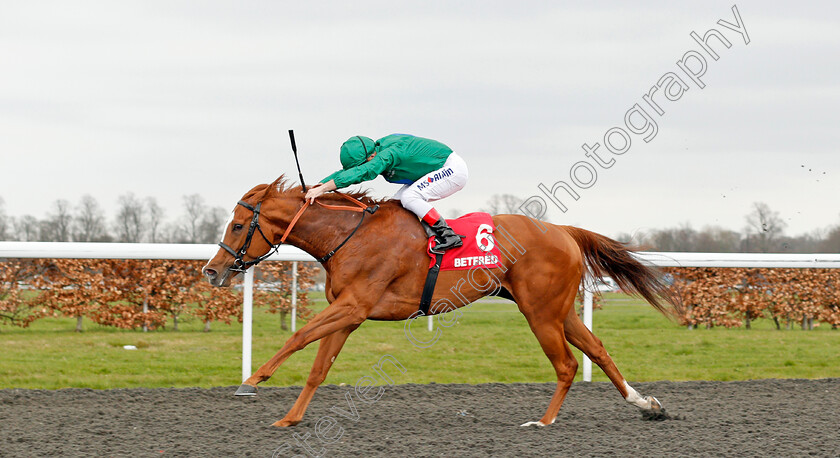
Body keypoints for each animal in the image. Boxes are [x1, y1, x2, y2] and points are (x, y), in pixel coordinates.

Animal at [203, 177, 684, 428]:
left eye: (239, 224)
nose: (211, 270)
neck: (348, 236)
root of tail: (564, 231)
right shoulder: (349, 314)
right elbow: (320, 368)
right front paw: (290, 418)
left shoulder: (353, 306)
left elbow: (298, 336)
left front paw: (252, 380)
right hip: (560, 311)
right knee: (598, 350)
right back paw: (646, 404)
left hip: (541, 313)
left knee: (566, 365)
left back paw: (543, 422)